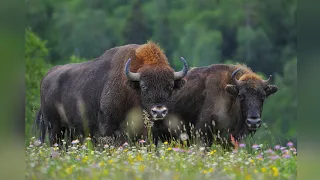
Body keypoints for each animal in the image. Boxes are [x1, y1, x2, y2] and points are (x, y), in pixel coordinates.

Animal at [36, 41, 189, 146]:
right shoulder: (111, 129)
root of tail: (47, 76)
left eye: (170, 86)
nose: (159, 111)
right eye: (144, 86)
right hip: (54, 127)